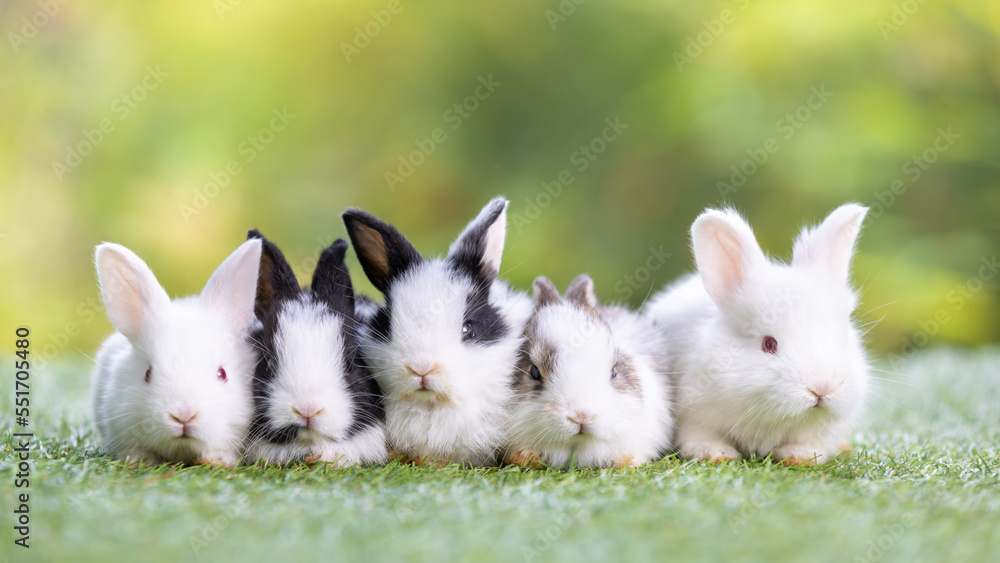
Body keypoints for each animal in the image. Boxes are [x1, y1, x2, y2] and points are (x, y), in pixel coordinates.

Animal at [644, 203, 870, 465]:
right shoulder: (695, 415)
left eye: (841, 337)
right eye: (769, 344)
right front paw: (718, 455)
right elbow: (701, 437)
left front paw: (798, 456)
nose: (822, 387)